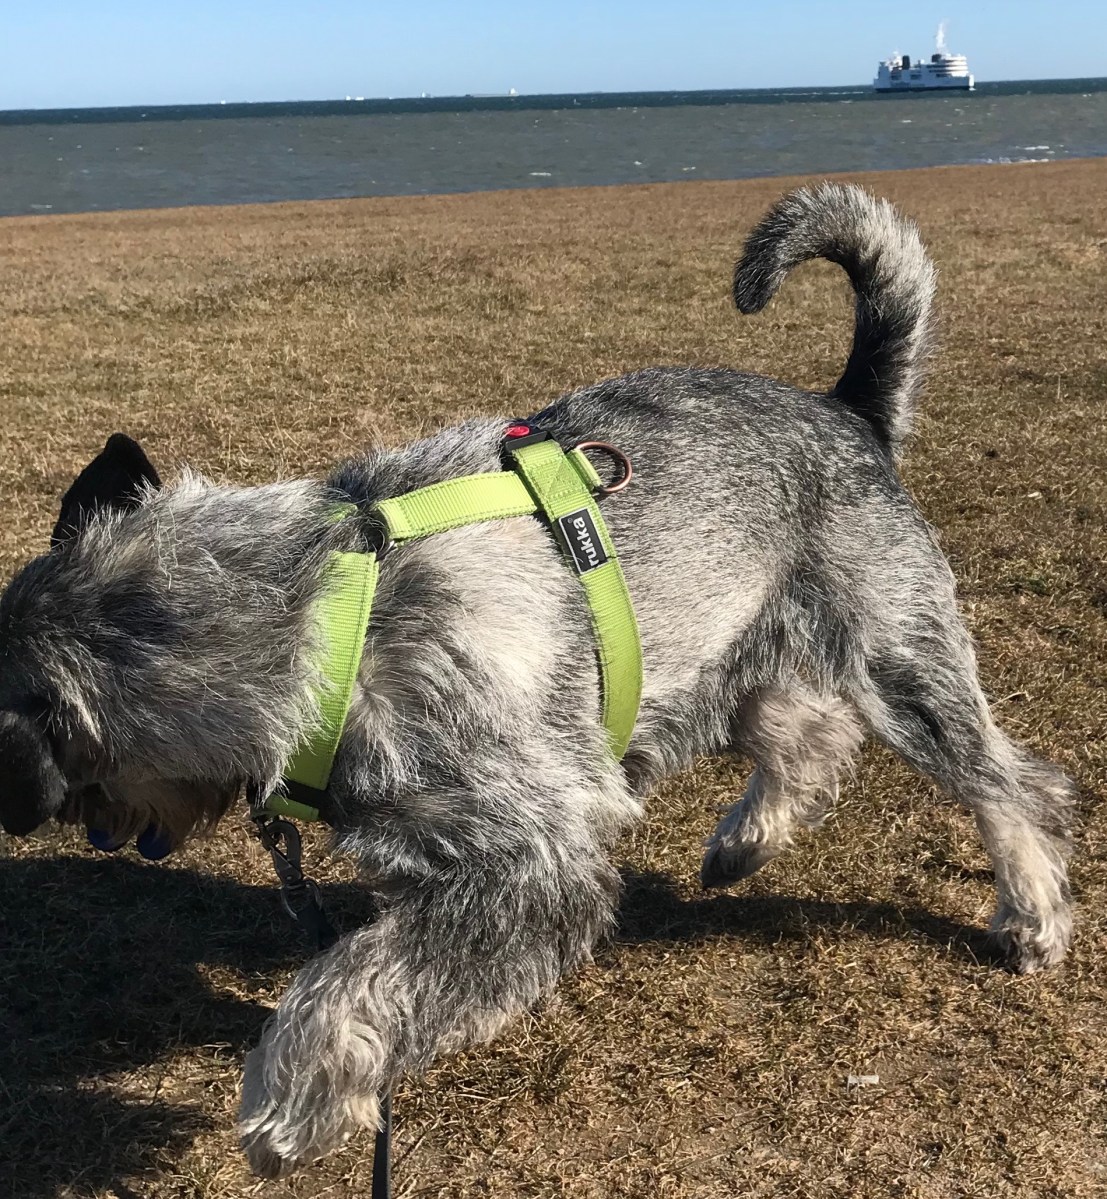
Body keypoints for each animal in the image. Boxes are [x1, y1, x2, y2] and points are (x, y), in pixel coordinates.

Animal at [0, 183, 1075, 1177]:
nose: (83, 824)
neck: (324, 618)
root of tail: (847, 409)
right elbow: (385, 966)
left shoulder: (530, 856)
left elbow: (354, 978)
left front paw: (284, 1106)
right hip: (708, 671)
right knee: (807, 732)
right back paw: (744, 840)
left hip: (900, 662)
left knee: (1008, 781)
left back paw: (1029, 912)